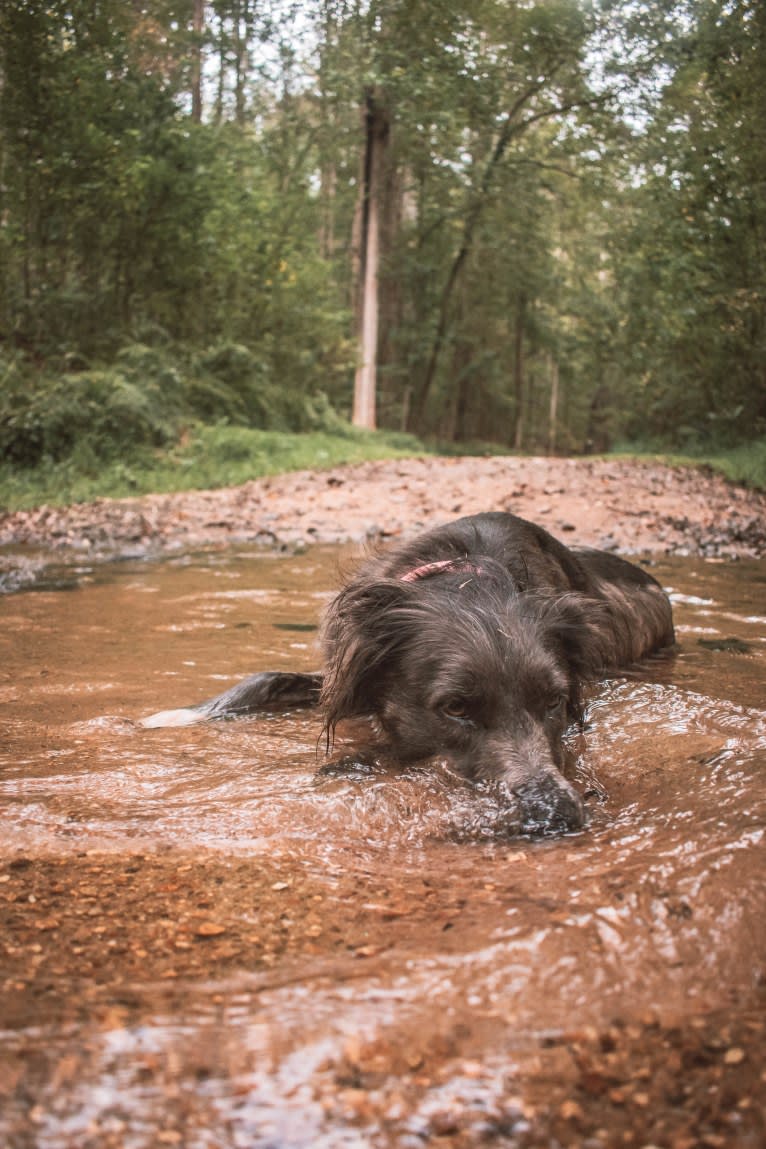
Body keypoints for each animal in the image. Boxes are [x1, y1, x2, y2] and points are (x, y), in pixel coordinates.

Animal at [140, 514, 675, 836]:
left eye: (553, 702)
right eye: (455, 707)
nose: (555, 815)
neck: (469, 581)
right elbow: (265, 678)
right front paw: (175, 716)